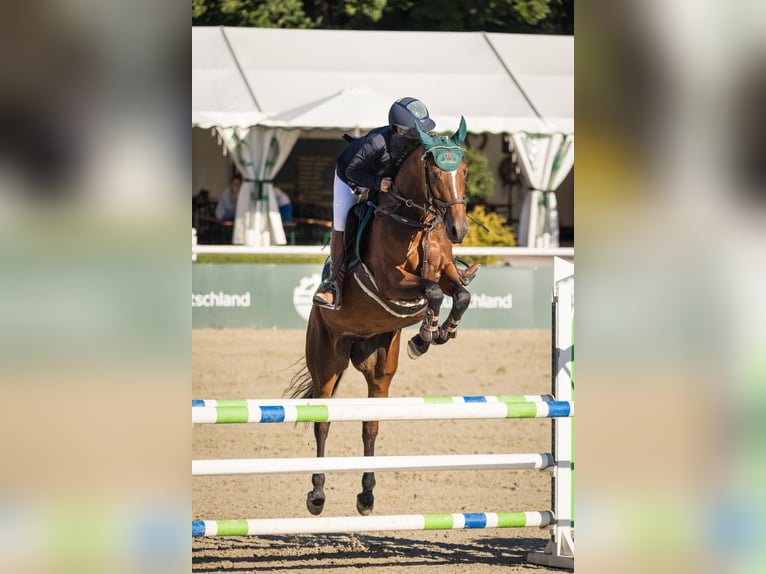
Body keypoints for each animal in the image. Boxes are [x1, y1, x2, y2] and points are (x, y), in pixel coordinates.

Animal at [287, 117, 474, 517]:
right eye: (436, 173)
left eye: (463, 170)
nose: (459, 230)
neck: (415, 221)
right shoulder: (391, 282)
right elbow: (433, 293)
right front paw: (424, 336)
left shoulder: (445, 271)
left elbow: (460, 294)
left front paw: (438, 332)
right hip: (326, 362)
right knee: (322, 424)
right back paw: (317, 495)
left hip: (379, 369)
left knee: (369, 425)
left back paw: (367, 495)